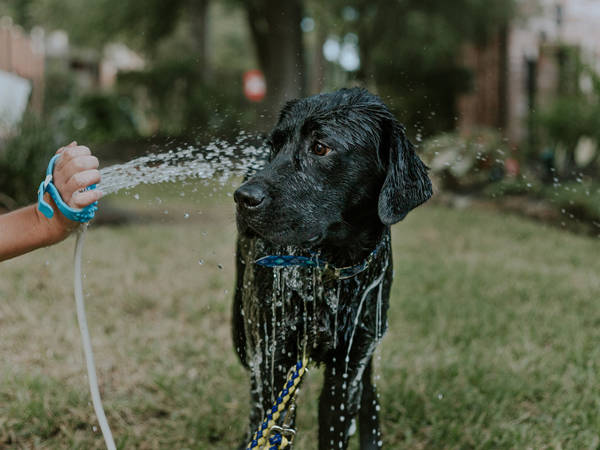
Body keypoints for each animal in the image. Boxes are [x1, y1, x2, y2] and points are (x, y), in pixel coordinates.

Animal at [232, 89, 434, 450]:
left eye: (320, 147)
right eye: (274, 146)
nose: (242, 197)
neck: (332, 268)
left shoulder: (350, 361)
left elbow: (338, 424)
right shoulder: (274, 355)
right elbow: (272, 422)